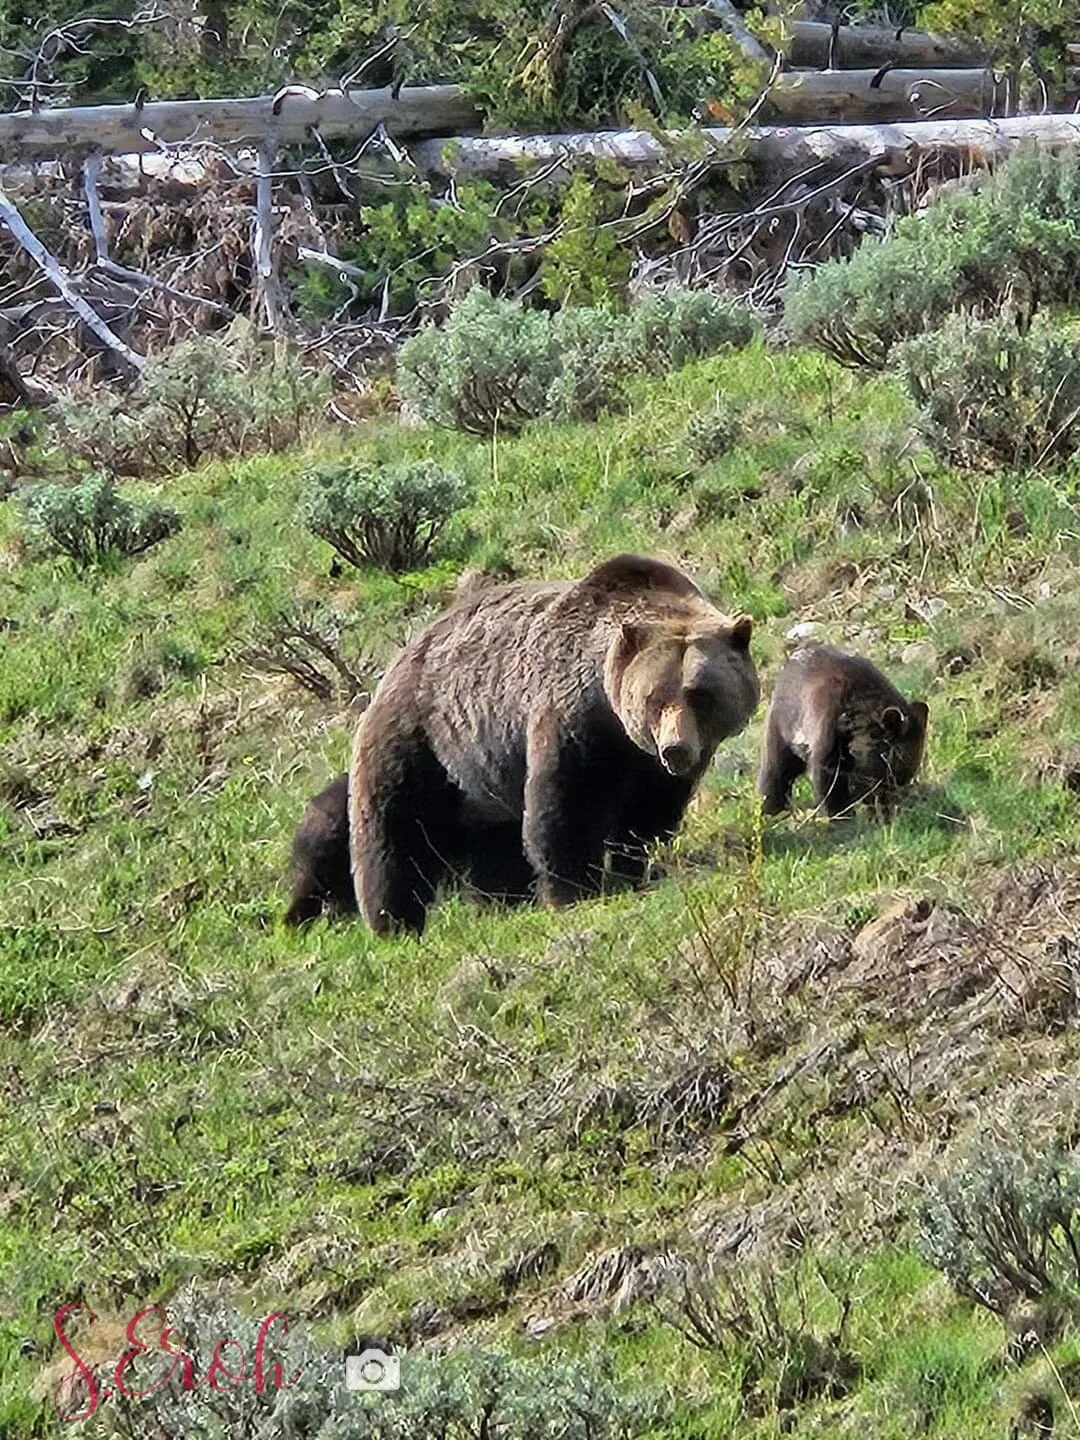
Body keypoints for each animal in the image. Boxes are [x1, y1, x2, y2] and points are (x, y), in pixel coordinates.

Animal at [347, 553, 760, 936]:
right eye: (654, 698)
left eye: (700, 694)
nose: (676, 748)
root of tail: (398, 659)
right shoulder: (574, 720)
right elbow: (565, 807)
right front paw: (574, 891)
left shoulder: (654, 767)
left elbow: (648, 815)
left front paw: (635, 867)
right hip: (425, 742)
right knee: (394, 832)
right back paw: (393, 921)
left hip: (485, 784)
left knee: (494, 845)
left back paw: (500, 900)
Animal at [757, 643, 929, 819]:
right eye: (892, 774)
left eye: (904, 778)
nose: (892, 805)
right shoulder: (828, 722)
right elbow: (828, 776)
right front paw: (842, 815)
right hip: (782, 725)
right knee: (776, 770)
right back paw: (771, 809)